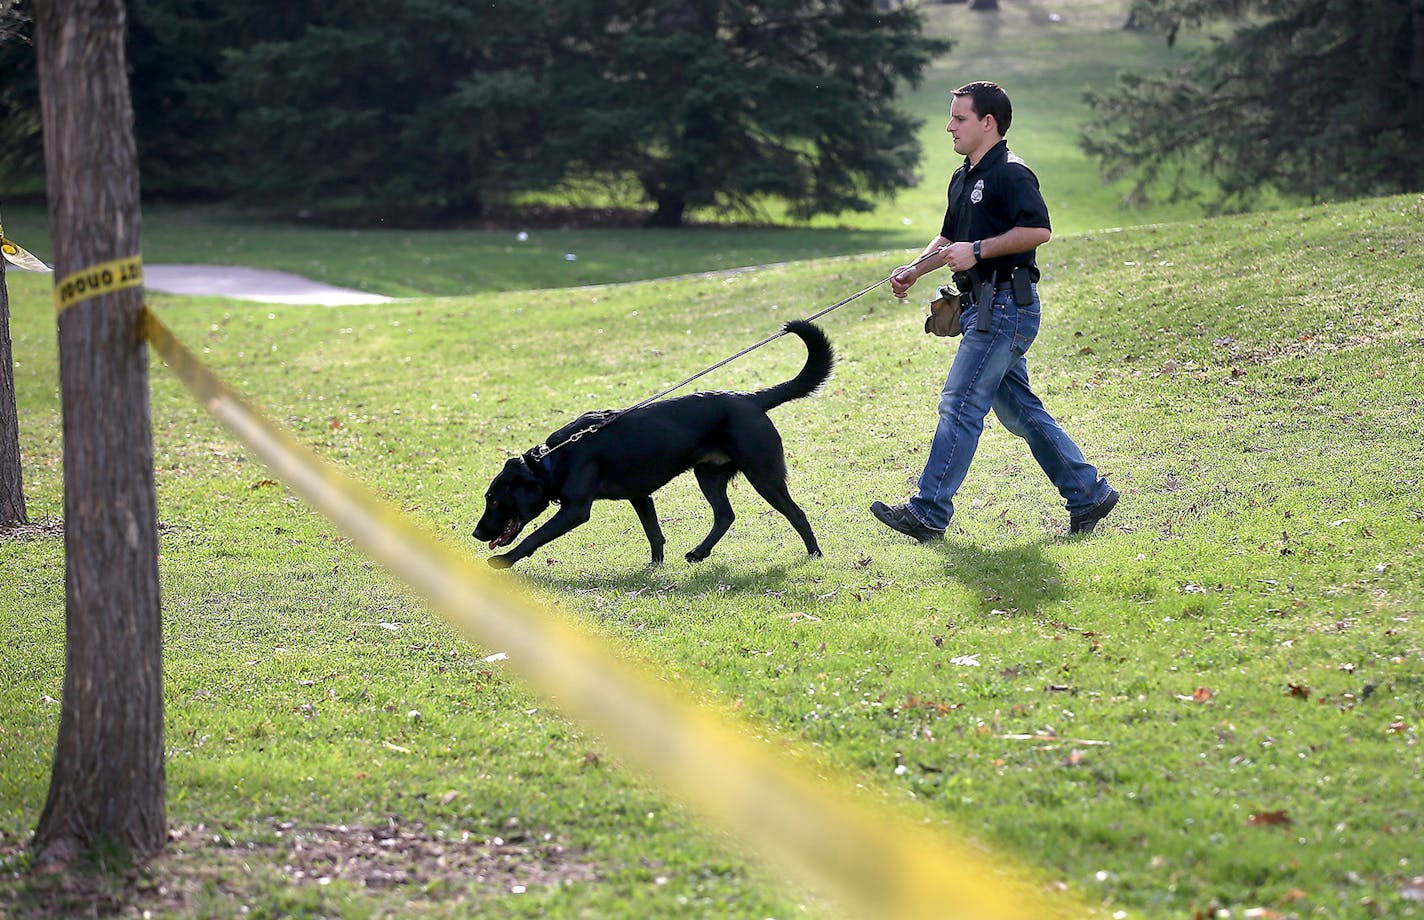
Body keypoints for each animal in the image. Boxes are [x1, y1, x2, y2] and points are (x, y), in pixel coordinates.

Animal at [475, 323, 831, 569]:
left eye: (493, 500)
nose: (477, 534)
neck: (554, 459)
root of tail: (751, 399)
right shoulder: (640, 495)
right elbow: (654, 533)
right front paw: (655, 566)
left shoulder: (575, 510)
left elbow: (535, 536)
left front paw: (504, 561)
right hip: (709, 475)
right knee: (725, 515)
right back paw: (699, 552)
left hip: (763, 474)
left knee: (796, 514)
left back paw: (815, 555)